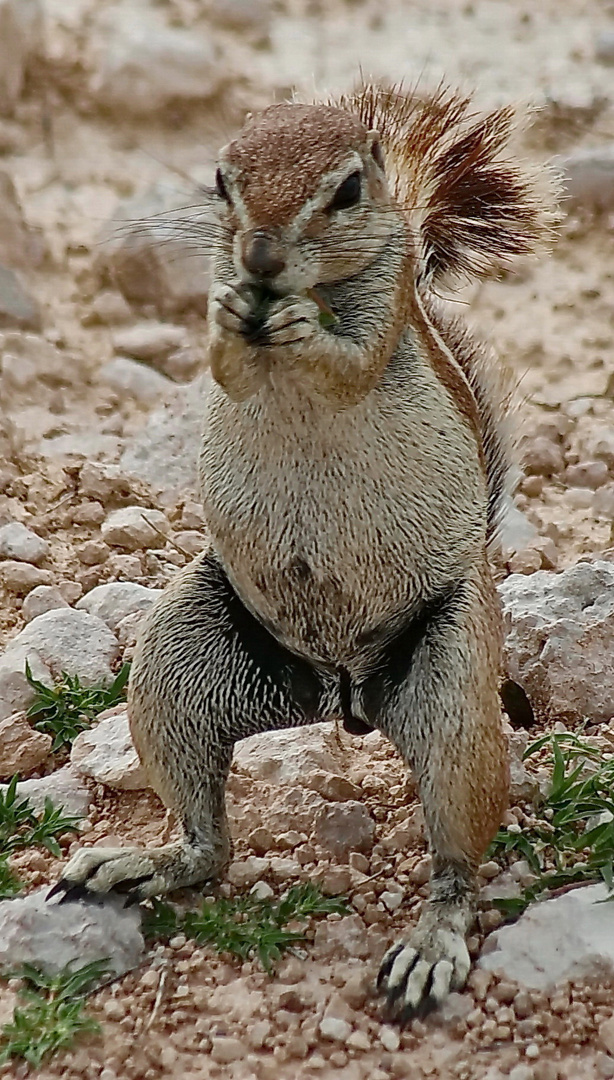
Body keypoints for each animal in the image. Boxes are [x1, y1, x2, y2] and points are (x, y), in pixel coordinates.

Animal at [57, 86, 556, 1019]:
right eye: (222, 180)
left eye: (349, 189)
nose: (258, 256)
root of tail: (340, 695)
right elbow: (223, 361)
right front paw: (230, 314)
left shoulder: (385, 311)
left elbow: (347, 365)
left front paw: (302, 328)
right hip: (176, 663)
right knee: (209, 841)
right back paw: (145, 860)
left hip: (454, 689)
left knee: (456, 856)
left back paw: (431, 945)